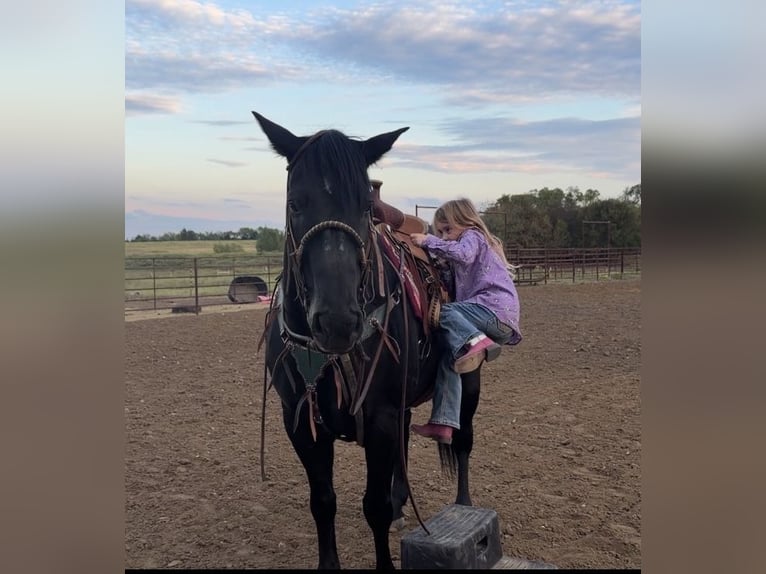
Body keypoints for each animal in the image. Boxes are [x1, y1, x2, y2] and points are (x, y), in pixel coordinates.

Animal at [252, 111, 483, 570]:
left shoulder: (379, 416)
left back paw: (463, 507)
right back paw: (402, 503)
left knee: (463, 441)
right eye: (295, 203)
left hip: (470, 381)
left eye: (364, 207)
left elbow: (373, 506)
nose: (338, 321)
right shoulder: (299, 420)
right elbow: (323, 502)